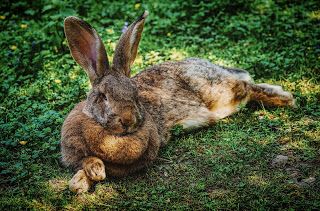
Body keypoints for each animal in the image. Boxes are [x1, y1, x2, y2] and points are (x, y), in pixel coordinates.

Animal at [60, 11, 296, 193]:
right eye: (103, 96)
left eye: (135, 94)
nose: (127, 120)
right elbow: (84, 164)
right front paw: (84, 179)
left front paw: (88, 176)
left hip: (218, 92)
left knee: (246, 87)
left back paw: (284, 98)